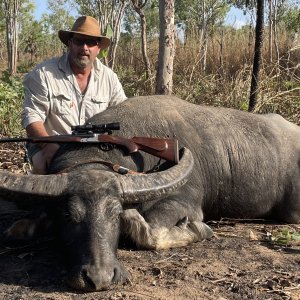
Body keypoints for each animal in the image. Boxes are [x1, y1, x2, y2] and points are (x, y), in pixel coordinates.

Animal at [0, 95, 300, 290]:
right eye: (68, 216)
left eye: (115, 215)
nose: (99, 278)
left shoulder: (185, 204)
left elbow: (152, 232)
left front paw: (198, 230)